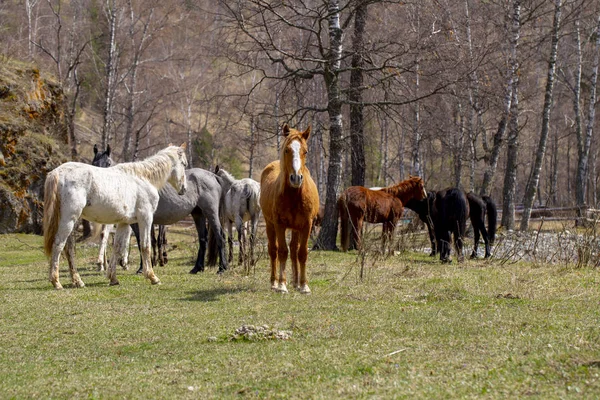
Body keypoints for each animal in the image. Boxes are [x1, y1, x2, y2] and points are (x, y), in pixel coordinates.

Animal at [43, 145, 188, 290]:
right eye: (184, 164)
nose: (184, 189)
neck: (143, 178)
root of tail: (57, 173)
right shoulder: (145, 218)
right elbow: (145, 245)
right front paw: (152, 277)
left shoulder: (124, 223)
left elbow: (117, 247)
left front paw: (113, 278)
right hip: (69, 219)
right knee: (59, 245)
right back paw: (57, 282)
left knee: (68, 248)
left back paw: (77, 281)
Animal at [260, 124, 322, 294]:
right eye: (287, 150)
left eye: (305, 151)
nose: (296, 178)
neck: (295, 195)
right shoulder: (280, 225)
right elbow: (282, 252)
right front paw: (282, 284)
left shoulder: (307, 225)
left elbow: (302, 253)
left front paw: (304, 285)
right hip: (270, 225)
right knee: (273, 250)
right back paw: (274, 282)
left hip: (296, 228)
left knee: (294, 250)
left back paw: (295, 282)